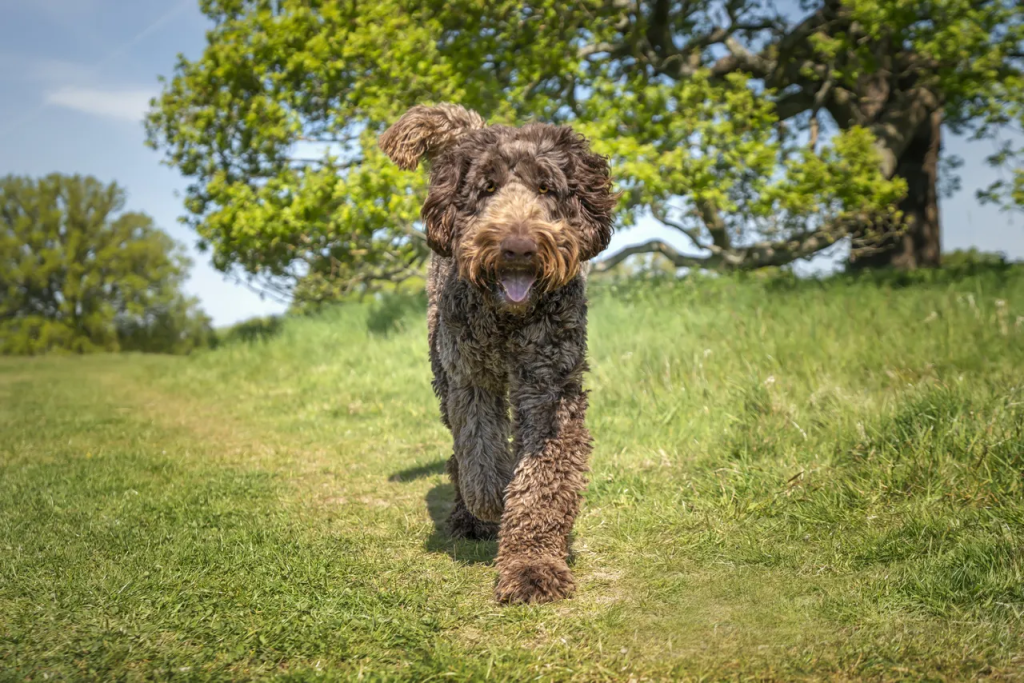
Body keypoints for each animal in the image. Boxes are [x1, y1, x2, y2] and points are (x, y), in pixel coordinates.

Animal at [378, 104, 610, 606]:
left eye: (545, 187)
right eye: (486, 188)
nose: (518, 247)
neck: (509, 319)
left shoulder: (549, 388)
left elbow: (541, 481)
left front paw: (532, 566)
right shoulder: (470, 377)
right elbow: (480, 452)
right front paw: (489, 500)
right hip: (442, 370)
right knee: (459, 451)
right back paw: (468, 515)